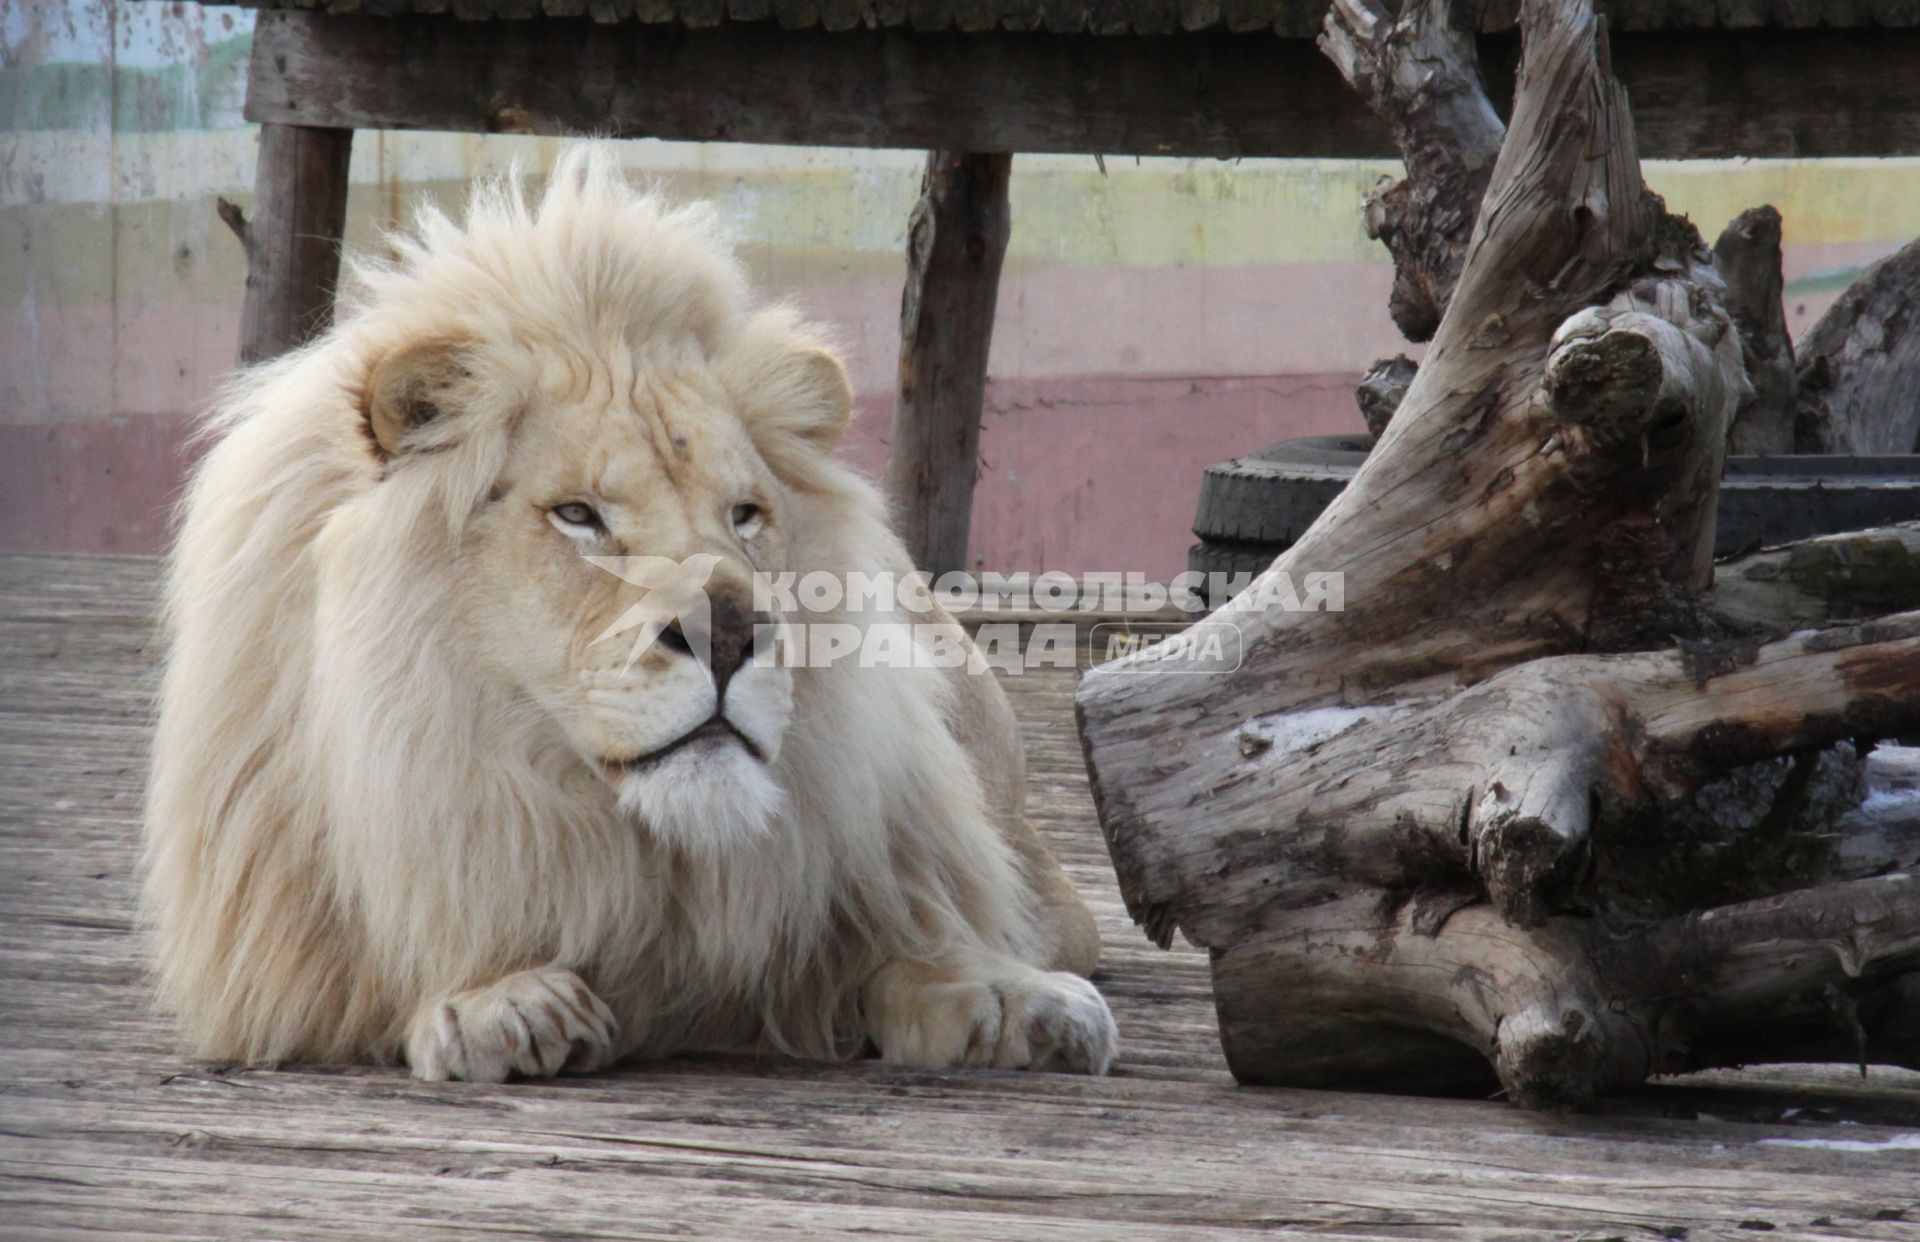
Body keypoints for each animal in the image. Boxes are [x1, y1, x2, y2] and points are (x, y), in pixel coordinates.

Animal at [142, 143, 1121, 1074]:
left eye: (745, 514)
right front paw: (499, 999)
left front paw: (1009, 1000)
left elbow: (908, 939)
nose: (729, 633)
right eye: (579, 515)